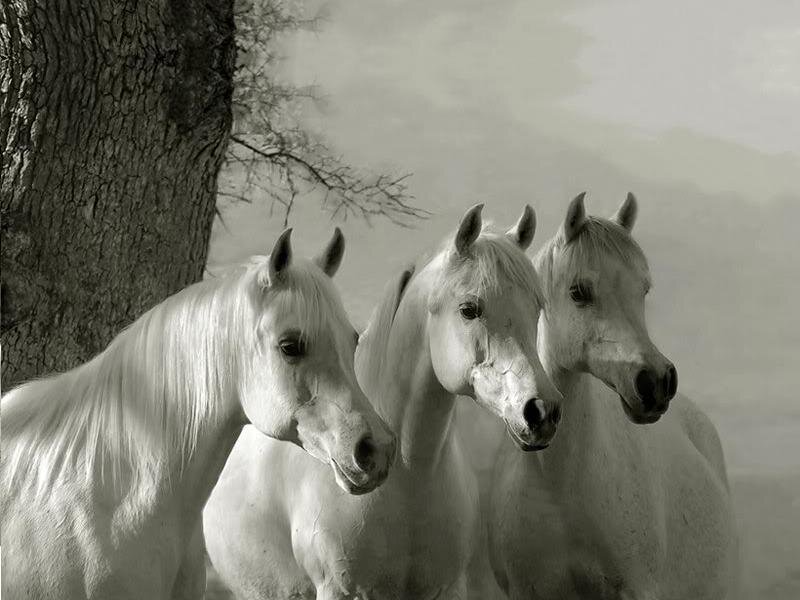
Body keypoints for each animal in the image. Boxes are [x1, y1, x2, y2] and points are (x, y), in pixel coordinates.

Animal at [201, 204, 563, 600]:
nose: (541, 411)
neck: (411, 479)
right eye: (470, 309)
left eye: (536, 307)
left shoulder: (447, 588)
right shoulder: (340, 590)